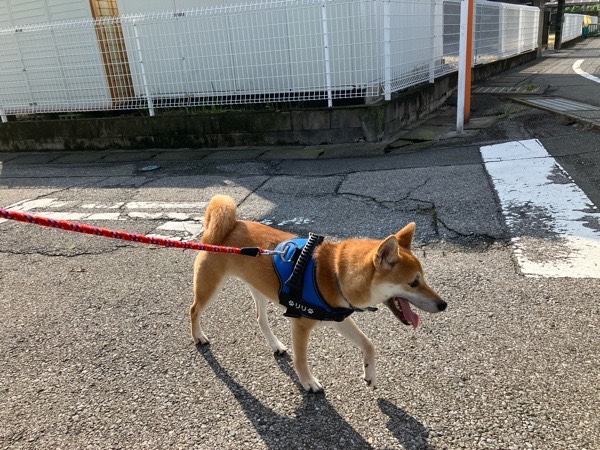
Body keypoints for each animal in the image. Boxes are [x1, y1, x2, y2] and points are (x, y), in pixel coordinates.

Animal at [191, 195, 447, 392]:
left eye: (423, 278)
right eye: (413, 283)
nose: (443, 304)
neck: (335, 275)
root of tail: (226, 228)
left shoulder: (338, 318)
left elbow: (369, 344)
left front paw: (370, 374)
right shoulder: (301, 325)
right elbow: (301, 359)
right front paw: (308, 382)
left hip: (259, 289)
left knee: (260, 319)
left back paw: (275, 344)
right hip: (209, 286)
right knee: (194, 310)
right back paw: (198, 336)